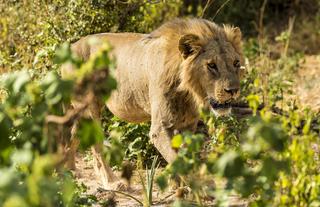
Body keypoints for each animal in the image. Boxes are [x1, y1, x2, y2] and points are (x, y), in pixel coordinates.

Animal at [61, 18, 244, 189]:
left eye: (236, 63)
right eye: (211, 65)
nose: (233, 90)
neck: (189, 93)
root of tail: (71, 47)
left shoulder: (188, 126)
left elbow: (181, 154)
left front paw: (176, 184)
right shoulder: (160, 127)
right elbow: (177, 158)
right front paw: (201, 187)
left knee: (74, 134)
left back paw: (68, 170)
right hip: (89, 107)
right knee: (96, 146)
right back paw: (112, 182)